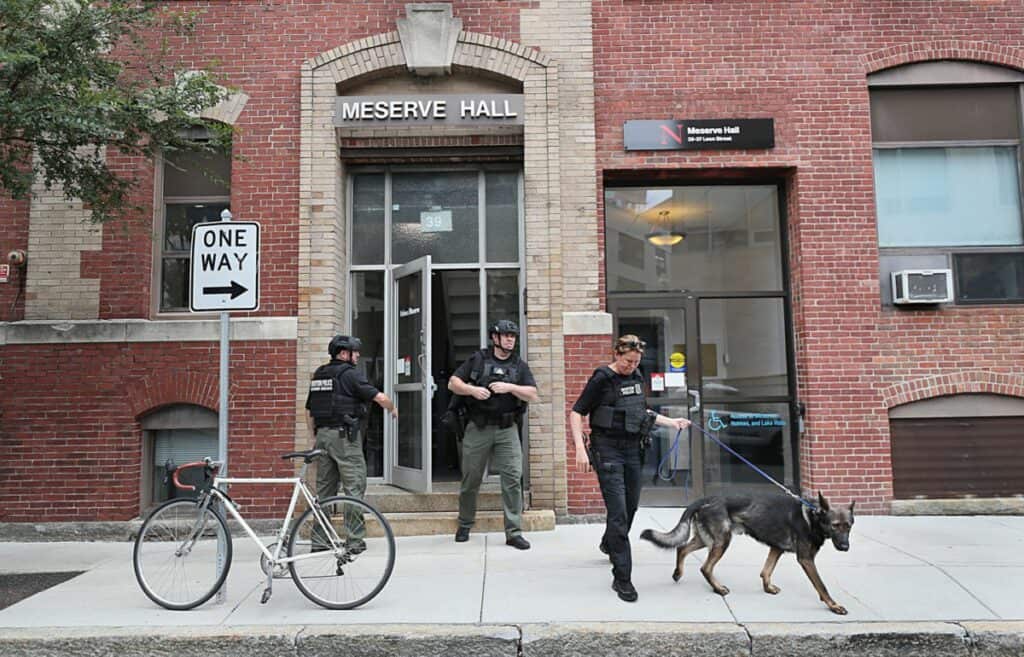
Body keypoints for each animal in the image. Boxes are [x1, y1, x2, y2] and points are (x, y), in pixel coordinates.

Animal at [638, 491, 856, 614]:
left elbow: (766, 571)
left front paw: (768, 588)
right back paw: (718, 589)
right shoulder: (806, 559)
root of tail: (705, 499)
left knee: (682, 547)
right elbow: (822, 586)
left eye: (849, 526)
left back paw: (678, 573)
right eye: (835, 526)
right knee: (705, 567)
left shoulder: (776, 548)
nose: (845, 547)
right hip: (722, 541)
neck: (813, 516)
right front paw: (833, 606)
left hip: (707, 540)